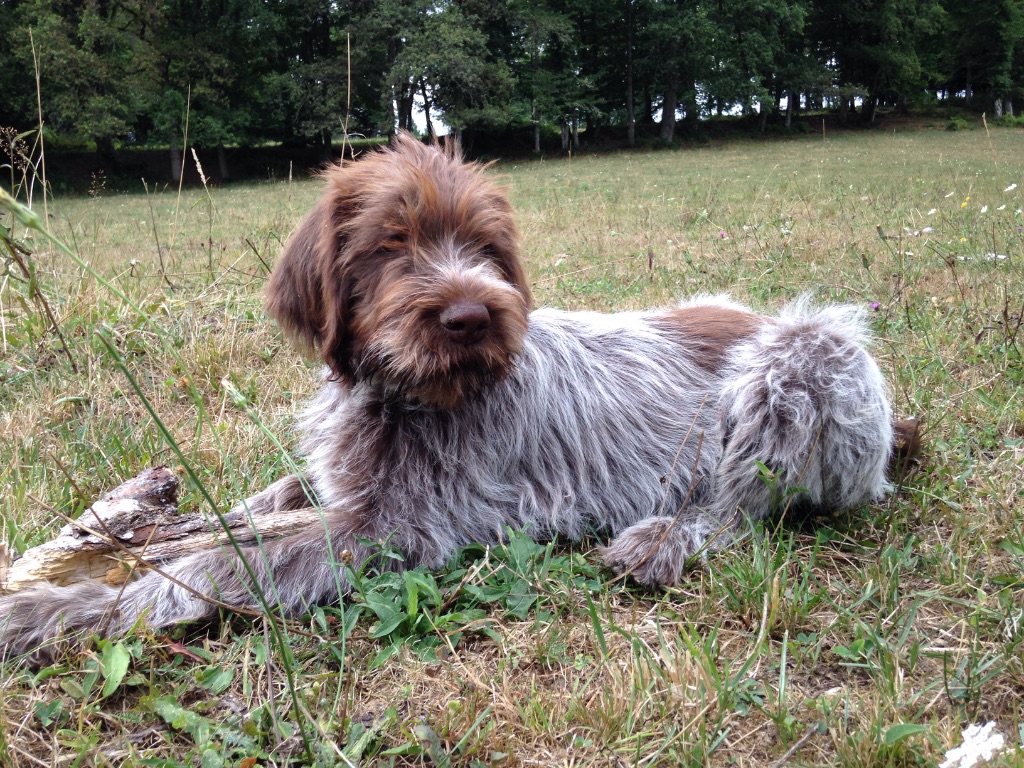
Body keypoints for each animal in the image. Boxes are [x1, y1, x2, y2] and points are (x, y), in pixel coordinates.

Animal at [0, 134, 909, 663]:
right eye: (389, 245)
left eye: (487, 246)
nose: (473, 317)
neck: (400, 393)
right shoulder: (342, 491)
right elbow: (256, 505)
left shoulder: (395, 531)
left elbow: (209, 566)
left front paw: (54, 609)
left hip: (803, 358)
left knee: (742, 508)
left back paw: (661, 538)